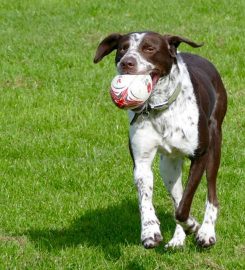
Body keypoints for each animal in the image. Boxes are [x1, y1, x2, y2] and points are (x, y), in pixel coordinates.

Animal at [94, 31, 228, 249]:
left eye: (149, 48)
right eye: (122, 48)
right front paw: (150, 231)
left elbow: (183, 209)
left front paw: (194, 226)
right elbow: (147, 200)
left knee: (211, 194)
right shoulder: (141, 162)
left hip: (214, 144)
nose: (127, 62)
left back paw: (206, 232)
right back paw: (178, 238)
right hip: (168, 168)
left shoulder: (200, 155)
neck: (159, 108)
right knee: (177, 197)